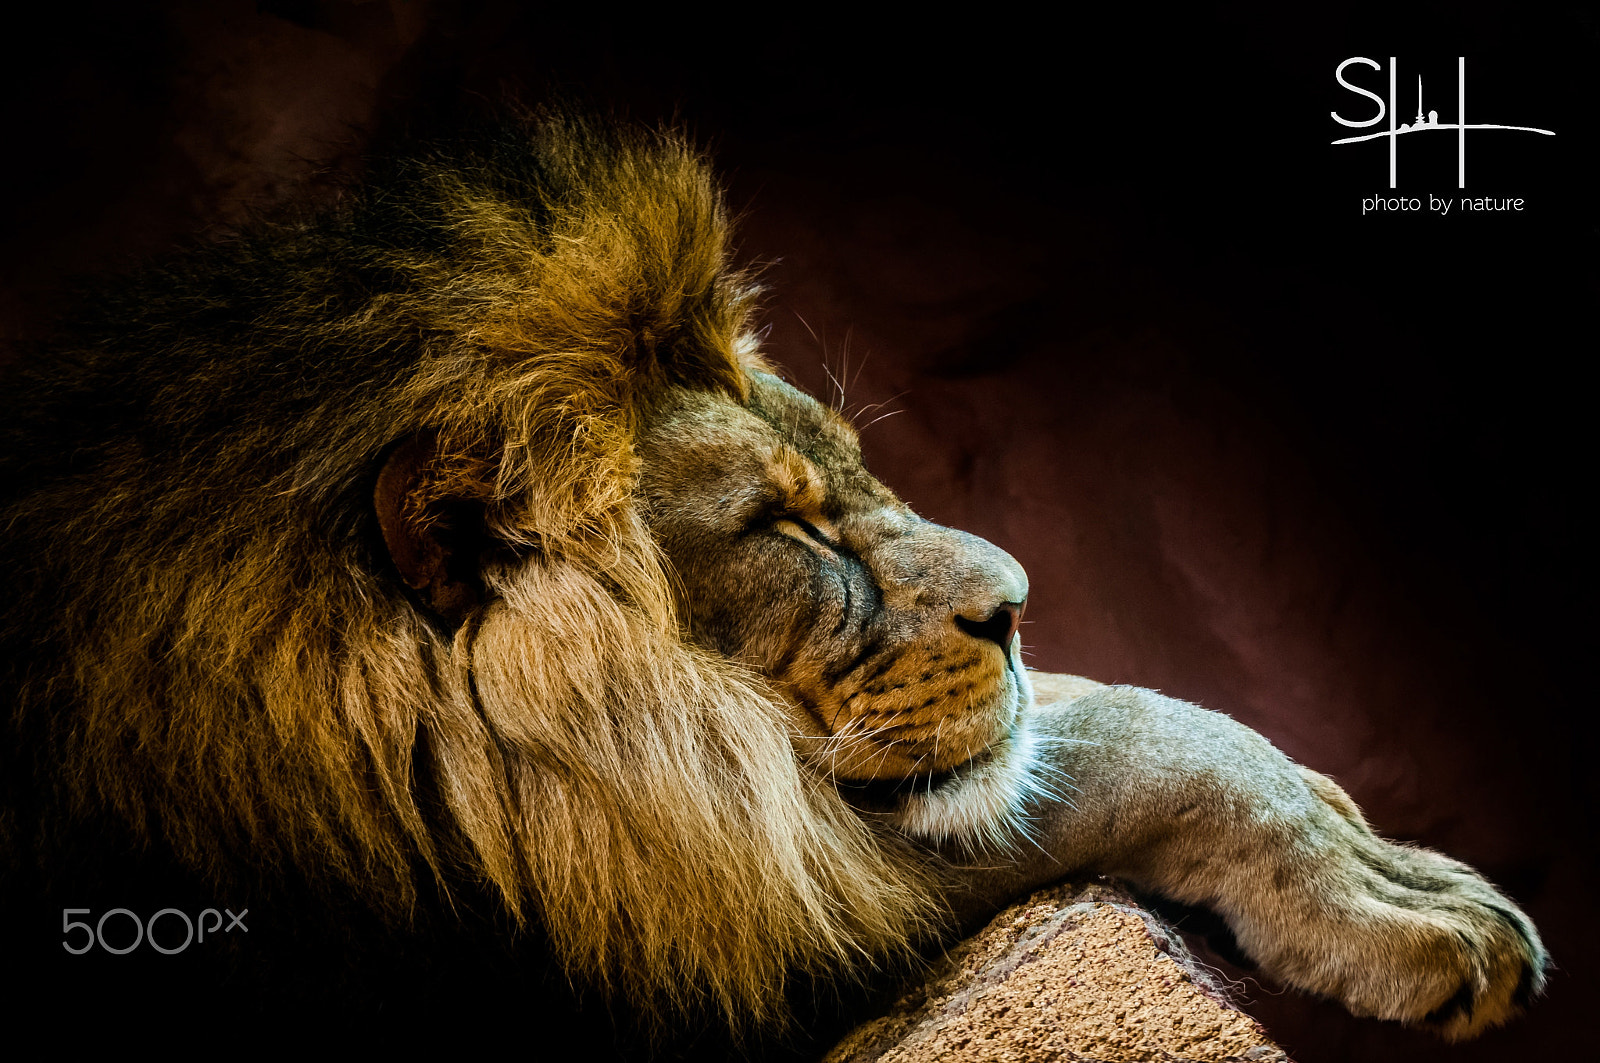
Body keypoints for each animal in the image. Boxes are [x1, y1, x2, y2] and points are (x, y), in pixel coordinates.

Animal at [0, 113, 1545, 1050]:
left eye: (858, 477)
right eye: (789, 532)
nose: (1016, 605)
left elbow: (1075, 723)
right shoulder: (710, 926)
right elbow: (1121, 743)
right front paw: (1400, 901)